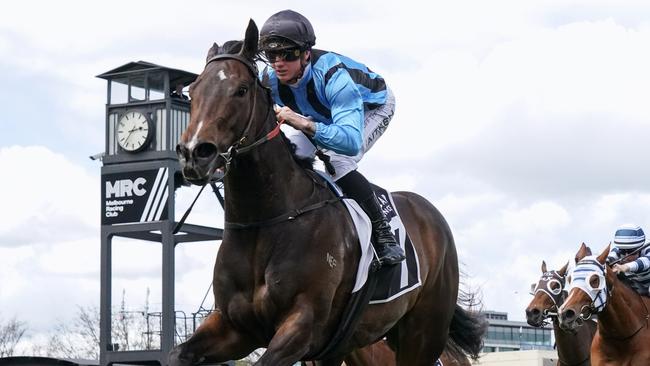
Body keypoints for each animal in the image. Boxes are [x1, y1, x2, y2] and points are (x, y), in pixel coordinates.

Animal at [170, 20, 484, 366]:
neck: (266, 222)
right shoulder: (234, 327)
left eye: (241, 90)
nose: (194, 153)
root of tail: (429, 212)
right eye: (193, 90)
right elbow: (176, 353)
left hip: (423, 332)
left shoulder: (303, 326)